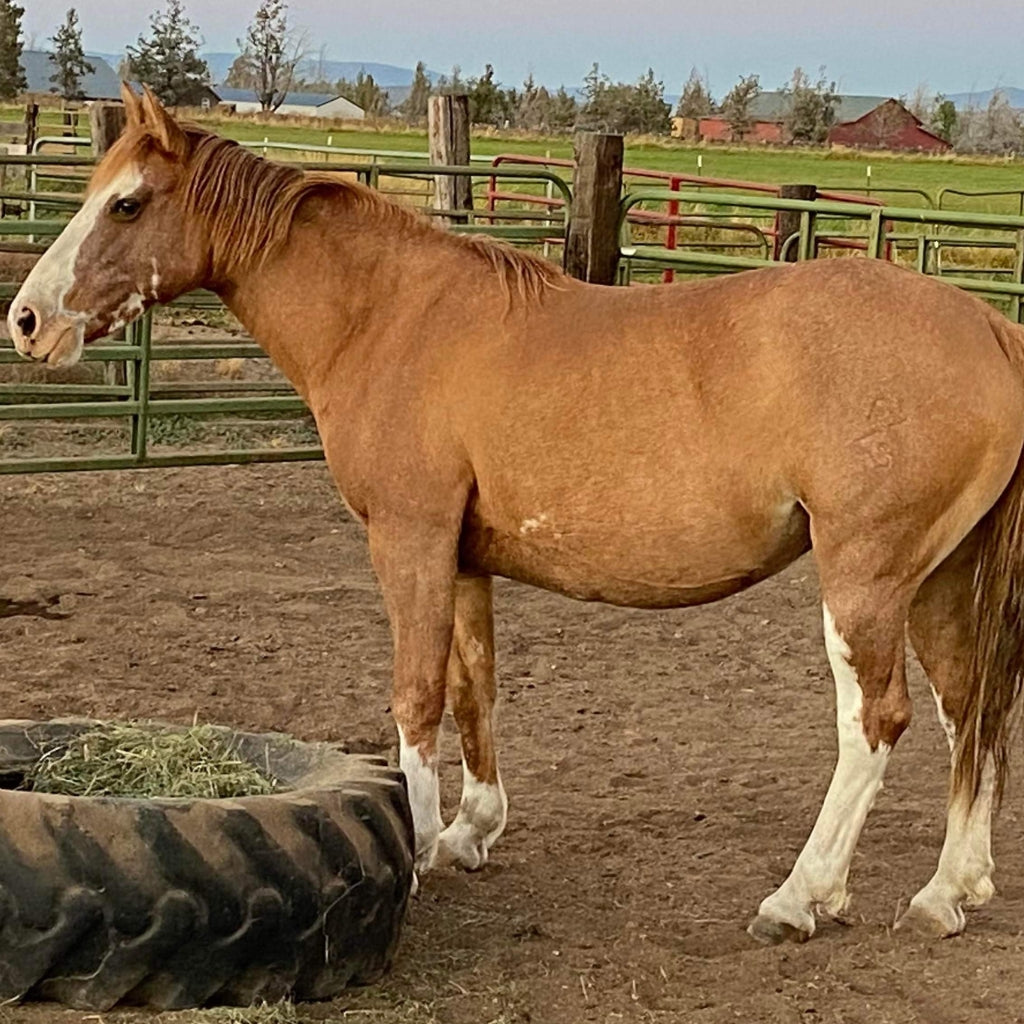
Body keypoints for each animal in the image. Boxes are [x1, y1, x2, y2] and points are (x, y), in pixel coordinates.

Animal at [8, 86, 1024, 942]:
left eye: (127, 203)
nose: (26, 321)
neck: (389, 318)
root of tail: (987, 327)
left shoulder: (409, 539)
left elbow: (417, 694)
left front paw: (416, 848)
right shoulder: (463, 557)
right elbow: (474, 688)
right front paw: (470, 831)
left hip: (864, 580)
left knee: (876, 722)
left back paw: (800, 897)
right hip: (938, 580)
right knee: (969, 710)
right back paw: (948, 892)